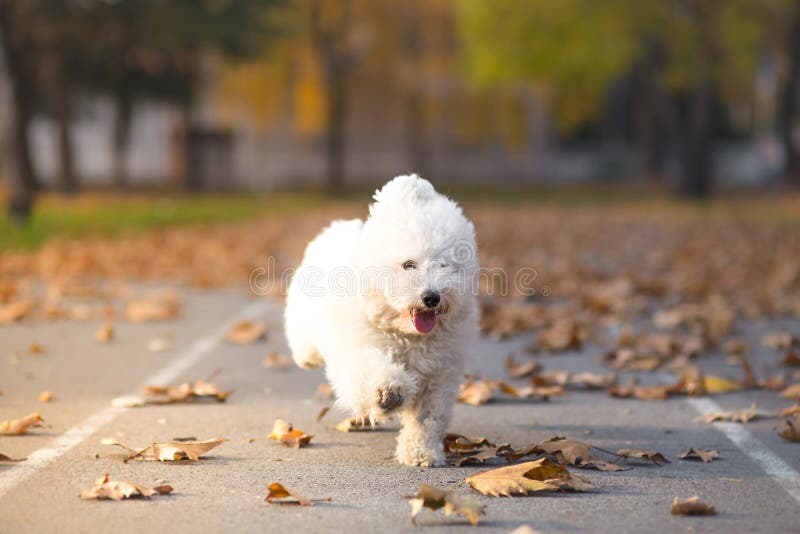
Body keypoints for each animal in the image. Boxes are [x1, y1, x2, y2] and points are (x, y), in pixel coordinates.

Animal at [284, 174, 478, 466]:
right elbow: (370, 372)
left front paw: (420, 452)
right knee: (303, 344)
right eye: (408, 264)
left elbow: (427, 419)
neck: (407, 336)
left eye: (445, 265)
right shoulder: (357, 349)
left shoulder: (440, 374)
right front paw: (387, 392)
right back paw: (308, 358)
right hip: (303, 322)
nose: (432, 297)